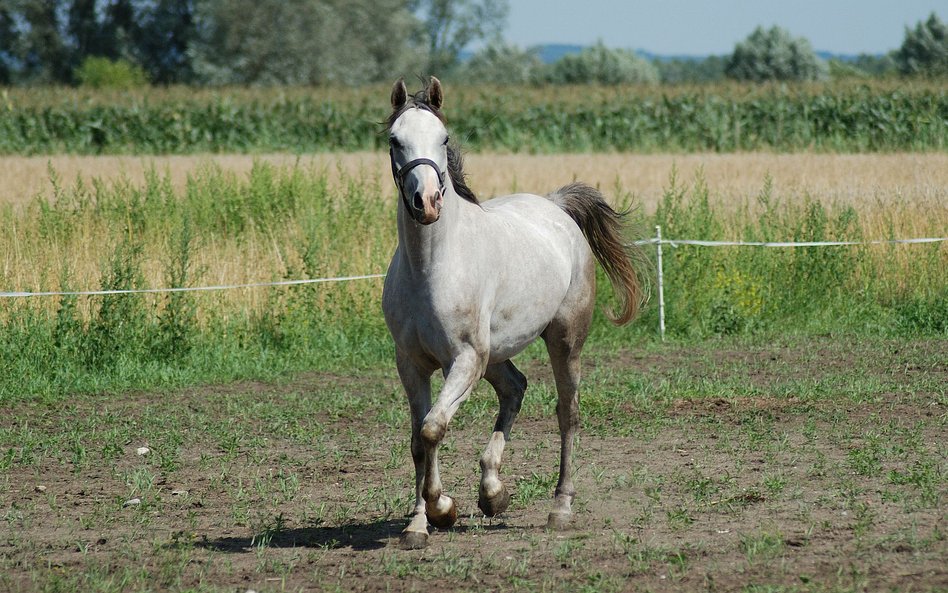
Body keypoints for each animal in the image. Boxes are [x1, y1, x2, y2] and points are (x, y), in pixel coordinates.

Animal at [380, 76, 644, 548]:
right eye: (395, 140)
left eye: (443, 139)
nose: (425, 202)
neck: (431, 268)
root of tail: (556, 206)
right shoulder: (411, 364)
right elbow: (417, 439)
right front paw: (418, 524)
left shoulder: (464, 359)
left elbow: (432, 428)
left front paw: (442, 508)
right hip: (496, 354)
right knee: (515, 388)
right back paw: (493, 493)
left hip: (562, 341)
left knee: (567, 412)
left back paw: (559, 508)